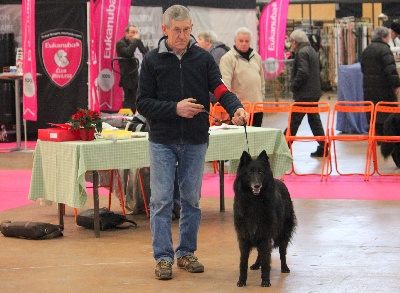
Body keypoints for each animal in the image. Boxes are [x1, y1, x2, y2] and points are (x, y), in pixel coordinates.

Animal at [233, 149, 296, 286]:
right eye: (250, 172)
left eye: (261, 172)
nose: (257, 185)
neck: (254, 202)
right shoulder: (244, 237)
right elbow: (243, 262)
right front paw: (242, 280)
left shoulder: (265, 236)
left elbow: (267, 260)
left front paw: (266, 281)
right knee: (260, 253)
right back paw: (257, 264)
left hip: (283, 232)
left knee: (282, 251)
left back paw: (284, 267)